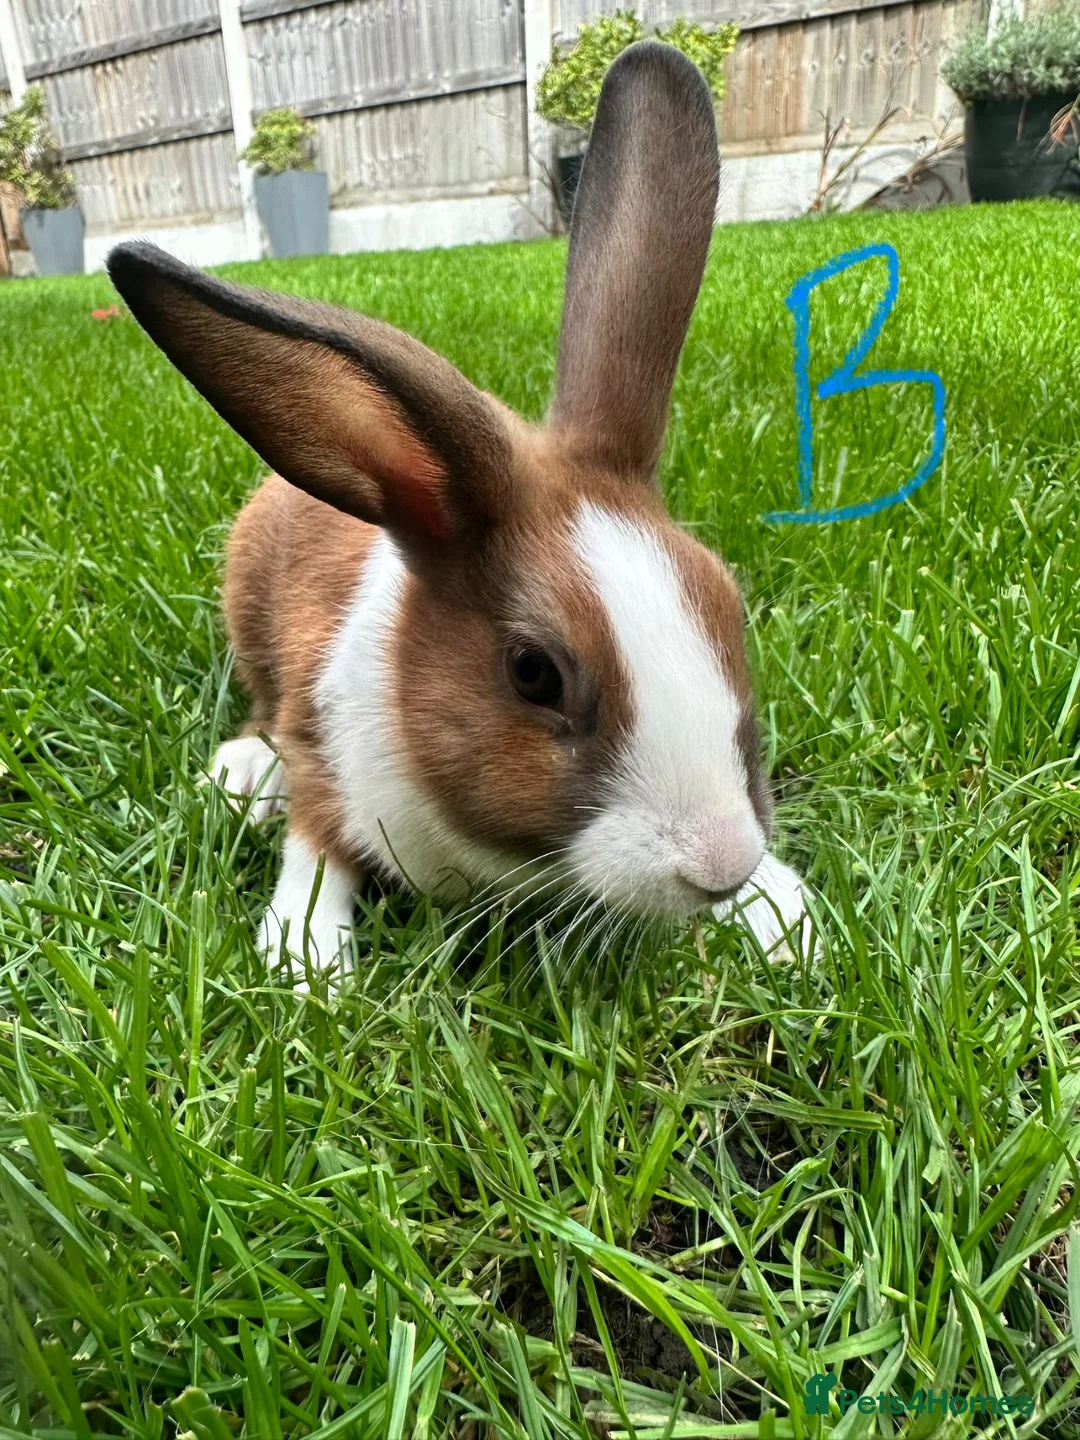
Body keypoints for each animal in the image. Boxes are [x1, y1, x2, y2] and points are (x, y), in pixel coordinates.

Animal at [107, 40, 811, 982]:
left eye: (731, 609)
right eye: (534, 673)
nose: (720, 863)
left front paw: (784, 913)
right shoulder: (326, 762)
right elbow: (315, 849)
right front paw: (306, 965)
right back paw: (245, 773)